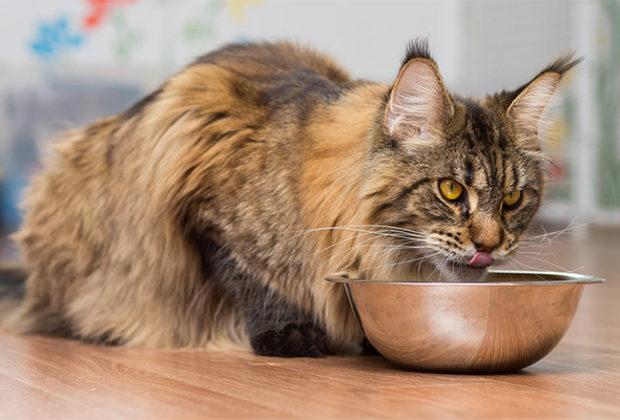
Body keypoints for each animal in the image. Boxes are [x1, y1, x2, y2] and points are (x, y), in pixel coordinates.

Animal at [1, 39, 580, 356]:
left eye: (513, 200)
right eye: (452, 190)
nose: (489, 245)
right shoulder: (203, 195)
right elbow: (252, 276)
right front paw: (291, 335)